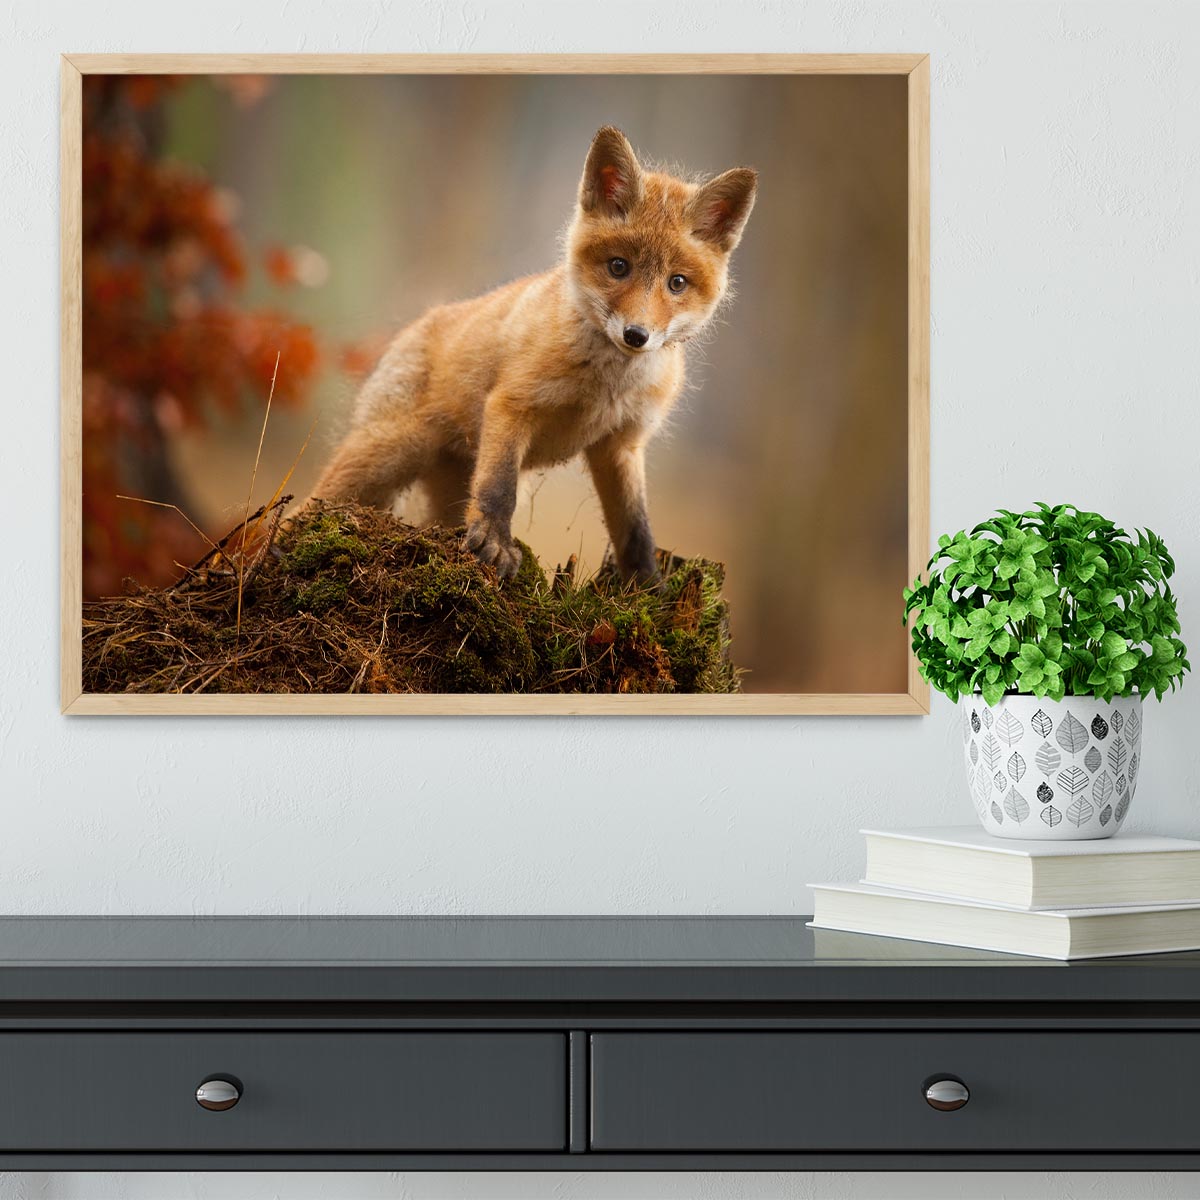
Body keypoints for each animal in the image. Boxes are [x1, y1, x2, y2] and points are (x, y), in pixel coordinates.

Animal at [310, 125, 757, 584]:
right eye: (618, 267)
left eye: (677, 283)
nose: (636, 335)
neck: (606, 387)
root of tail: (417, 324)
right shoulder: (512, 406)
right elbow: (498, 489)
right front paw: (494, 544)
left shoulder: (621, 444)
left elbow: (635, 527)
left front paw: (648, 585)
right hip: (386, 455)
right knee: (312, 504)